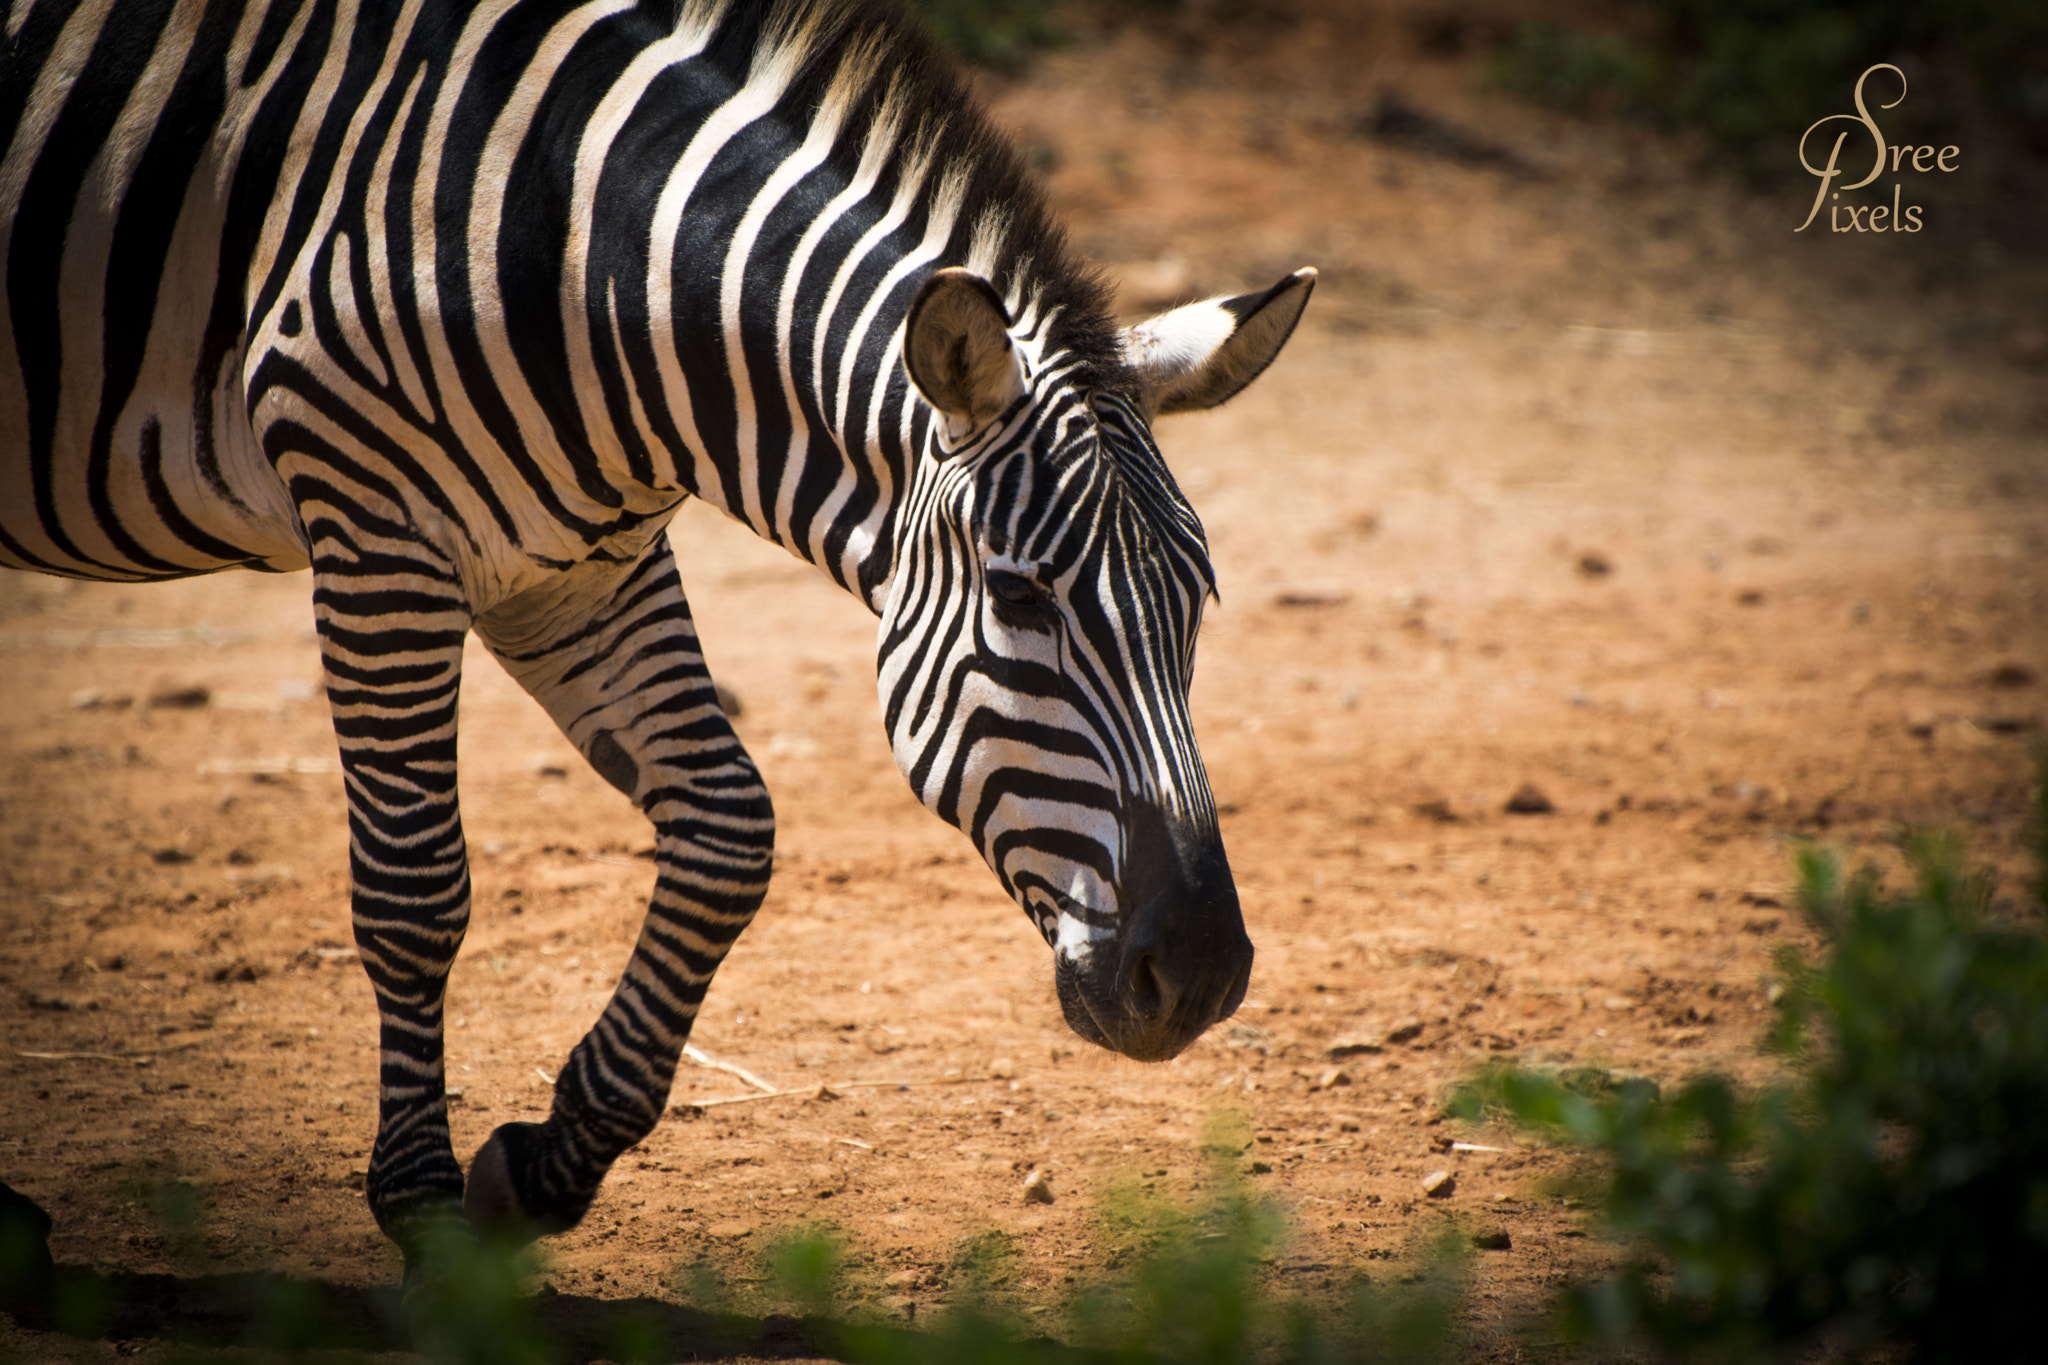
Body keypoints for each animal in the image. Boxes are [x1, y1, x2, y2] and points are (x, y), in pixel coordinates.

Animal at [0, 0, 1313, 1286]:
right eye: (1018, 597)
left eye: (1196, 606)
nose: (1198, 973)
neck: (585, 259)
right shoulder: (374, 518)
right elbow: (416, 884)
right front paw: (422, 1207)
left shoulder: (575, 568)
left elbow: (729, 833)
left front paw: (541, 1167)